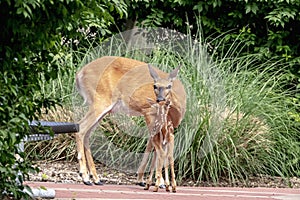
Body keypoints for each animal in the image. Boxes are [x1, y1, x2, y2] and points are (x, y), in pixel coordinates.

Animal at [75, 56, 185, 186]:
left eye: (169, 86)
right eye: (154, 86)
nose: (159, 99)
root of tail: (79, 74)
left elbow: (154, 146)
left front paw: (146, 180)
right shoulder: (148, 112)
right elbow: (155, 146)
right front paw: (157, 181)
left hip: (103, 108)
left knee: (87, 133)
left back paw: (95, 178)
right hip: (101, 100)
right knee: (81, 127)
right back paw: (85, 176)